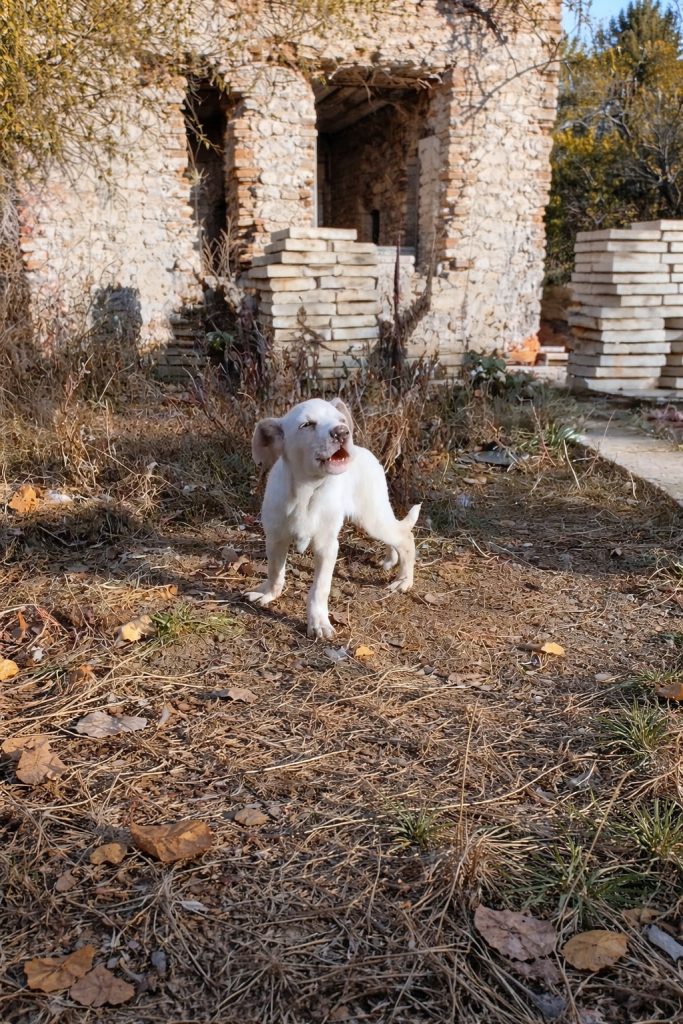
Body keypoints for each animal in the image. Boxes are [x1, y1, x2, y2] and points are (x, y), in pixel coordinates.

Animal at [244, 397, 420, 638]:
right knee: (397, 535)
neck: (307, 492)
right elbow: (274, 572)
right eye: (306, 425)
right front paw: (269, 594)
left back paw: (404, 580)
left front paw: (318, 622)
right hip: (373, 518)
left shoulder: (326, 547)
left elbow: (320, 587)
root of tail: (364, 451)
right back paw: (391, 560)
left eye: (341, 421)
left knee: (405, 538)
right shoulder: (275, 539)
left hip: (372, 517)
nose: (342, 432)